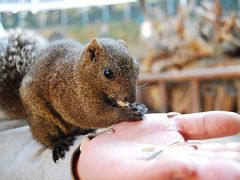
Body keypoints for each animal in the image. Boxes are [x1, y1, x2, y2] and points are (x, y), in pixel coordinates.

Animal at [0, 29, 147, 162]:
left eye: (137, 68)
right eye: (108, 72)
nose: (131, 98)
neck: (80, 72)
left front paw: (138, 106)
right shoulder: (77, 99)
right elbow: (97, 115)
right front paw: (128, 113)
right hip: (40, 117)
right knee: (45, 136)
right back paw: (58, 143)